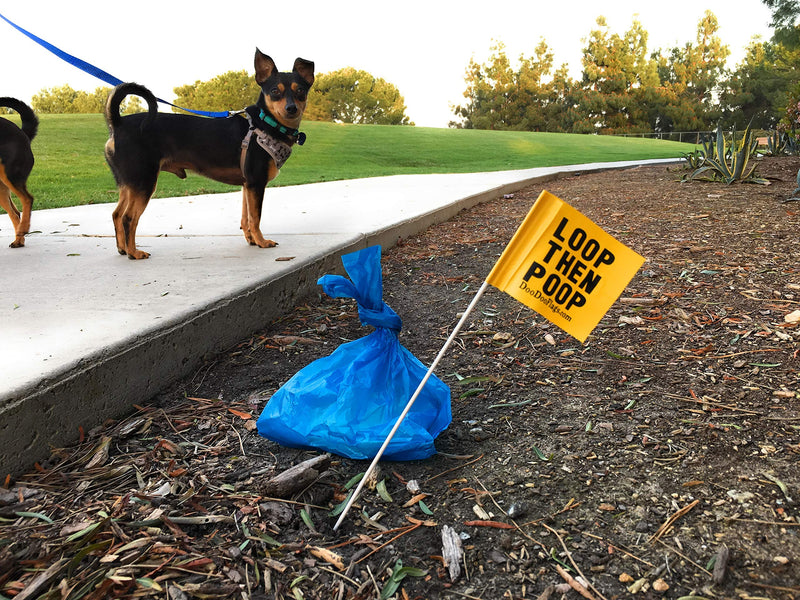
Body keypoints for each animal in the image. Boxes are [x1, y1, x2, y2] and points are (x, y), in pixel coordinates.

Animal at [0, 97, 38, 247]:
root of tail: (24, 134)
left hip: (9, 175)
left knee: (27, 199)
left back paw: (23, 230)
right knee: (15, 213)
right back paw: (18, 240)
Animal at [105, 48, 316, 258]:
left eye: (300, 91)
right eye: (274, 91)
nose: (291, 108)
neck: (266, 123)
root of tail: (118, 123)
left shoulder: (247, 185)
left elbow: (245, 218)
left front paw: (251, 240)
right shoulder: (256, 183)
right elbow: (255, 217)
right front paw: (262, 242)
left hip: (129, 183)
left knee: (116, 214)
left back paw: (123, 248)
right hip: (144, 182)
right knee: (128, 218)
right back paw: (134, 252)